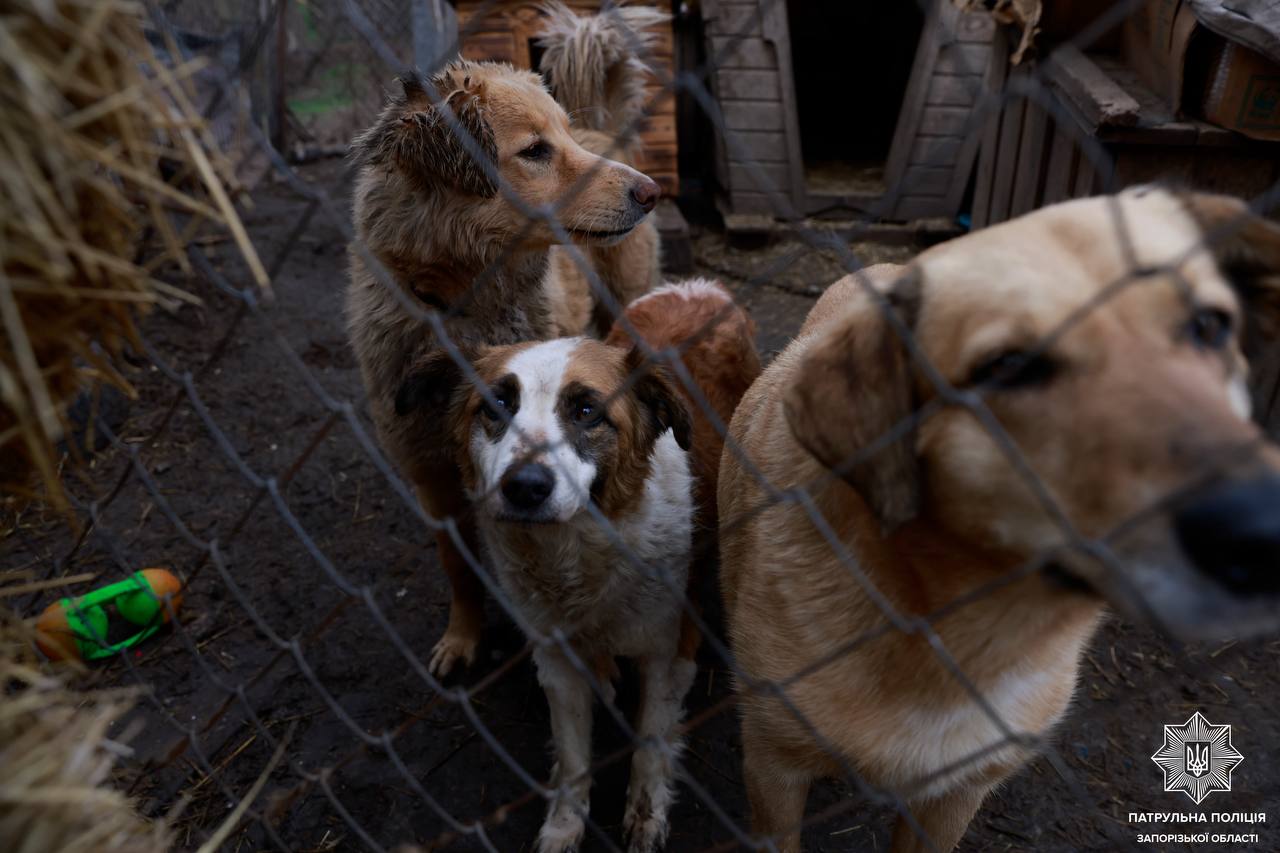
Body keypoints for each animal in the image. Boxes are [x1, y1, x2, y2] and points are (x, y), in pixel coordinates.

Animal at [346, 59, 660, 676]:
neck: (462, 307)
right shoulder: (430, 478)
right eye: (535, 150)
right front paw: (463, 637)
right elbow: (458, 567)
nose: (650, 191)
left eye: (562, 135)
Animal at [394, 282, 757, 852]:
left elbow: (651, 739)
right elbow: (571, 755)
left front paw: (645, 815)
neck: (575, 551)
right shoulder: (555, 658)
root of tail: (700, 286)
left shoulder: (669, 647)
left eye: (587, 410)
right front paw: (565, 826)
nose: (525, 487)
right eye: (496, 405)